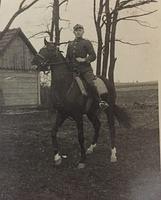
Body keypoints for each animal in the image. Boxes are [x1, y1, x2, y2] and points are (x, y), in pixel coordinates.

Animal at [31, 38, 131, 169]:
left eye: (49, 50)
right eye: (41, 49)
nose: (33, 64)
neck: (65, 84)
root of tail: (107, 81)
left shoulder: (78, 115)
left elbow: (80, 137)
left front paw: (82, 160)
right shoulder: (62, 113)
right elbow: (53, 132)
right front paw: (57, 157)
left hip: (108, 110)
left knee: (111, 128)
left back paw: (113, 154)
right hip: (91, 112)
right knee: (97, 125)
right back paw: (91, 148)